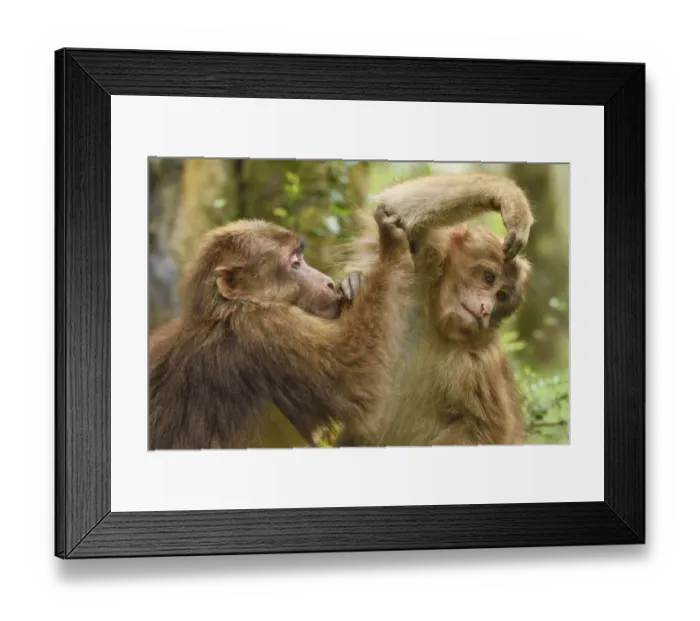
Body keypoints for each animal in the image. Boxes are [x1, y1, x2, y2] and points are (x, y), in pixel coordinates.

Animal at [148, 209, 414, 450]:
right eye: (295, 263)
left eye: (301, 258)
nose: (327, 282)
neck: (225, 311)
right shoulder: (266, 328)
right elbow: (352, 377)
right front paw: (391, 249)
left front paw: (355, 284)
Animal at [335, 171, 534, 447]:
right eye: (488, 277)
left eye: (501, 296)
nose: (485, 308)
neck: (438, 328)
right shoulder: (417, 274)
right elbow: (395, 207)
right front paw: (510, 199)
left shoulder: (482, 362)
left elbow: (482, 432)